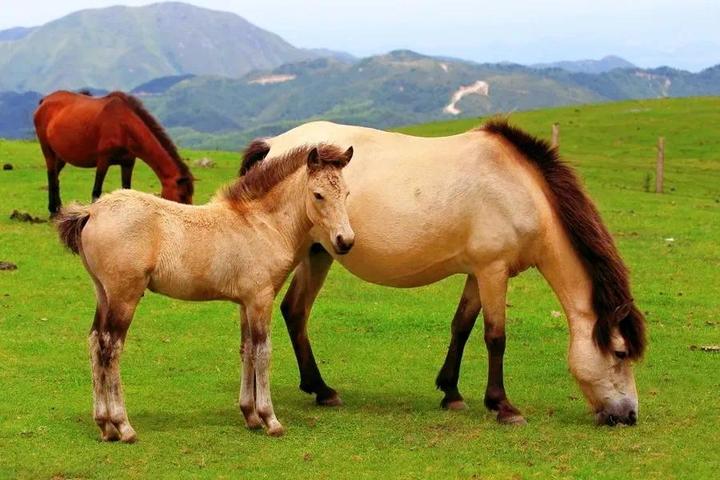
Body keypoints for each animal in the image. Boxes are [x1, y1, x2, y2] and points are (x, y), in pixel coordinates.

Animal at [34, 90, 194, 215]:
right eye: (182, 196)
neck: (123, 126)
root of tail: (44, 101)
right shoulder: (103, 161)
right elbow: (96, 192)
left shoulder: (128, 163)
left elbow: (127, 189)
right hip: (48, 151)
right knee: (51, 175)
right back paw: (52, 211)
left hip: (61, 156)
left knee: (56, 177)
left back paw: (58, 209)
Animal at [55, 144, 355, 441]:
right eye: (318, 195)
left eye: (347, 193)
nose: (346, 241)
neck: (261, 225)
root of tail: (92, 212)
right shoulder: (261, 298)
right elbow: (263, 352)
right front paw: (270, 419)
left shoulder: (245, 302)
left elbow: (246, 350)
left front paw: (250, 415)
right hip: (124, 297)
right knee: (110, 348)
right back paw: (123, 426)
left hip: (103, 294)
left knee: (95, 342)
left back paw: (105, 426)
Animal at [240, 119, 646, 427]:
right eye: (621, 353)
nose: (629, 416)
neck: (519, 189)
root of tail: (274, 145)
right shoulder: (494, 271)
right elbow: (495, 337)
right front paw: (503, 406)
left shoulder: (478, 273)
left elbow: (461, 326)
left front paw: (451, 392)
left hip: (318, 254)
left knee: (295, 311)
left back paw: (321, 390)